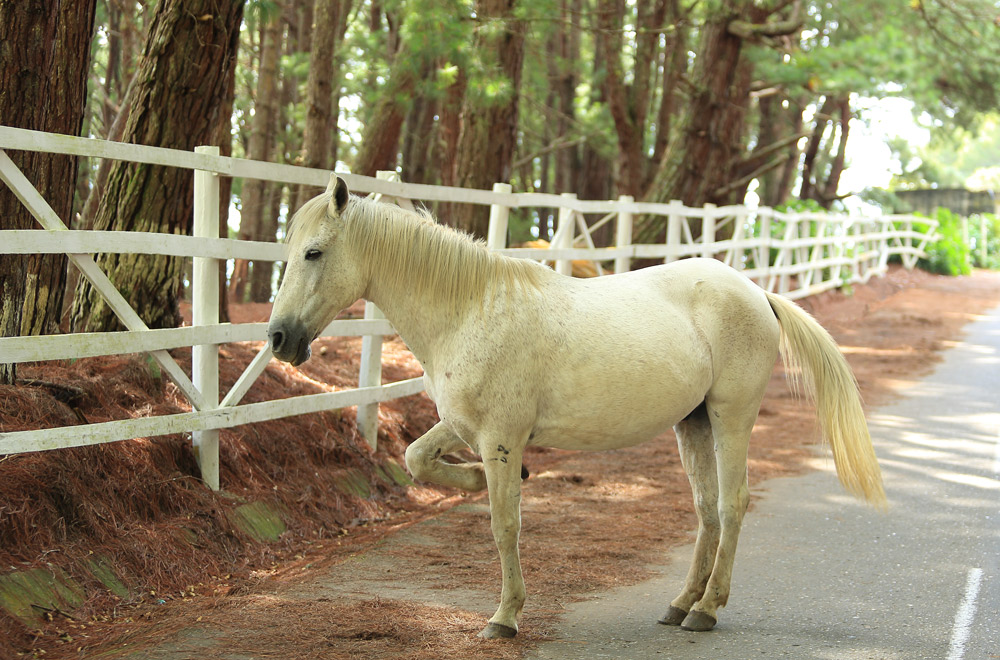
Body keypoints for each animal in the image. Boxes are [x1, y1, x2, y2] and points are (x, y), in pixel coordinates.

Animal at [266, 175, 884, 640]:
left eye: (314, 253)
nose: (278, 339)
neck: (470, 309)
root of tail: (757, 294)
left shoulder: (499, 436)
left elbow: (504, 524)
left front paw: (505, 616)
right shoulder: (464, 427)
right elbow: (418, 460)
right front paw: (479, 481)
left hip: (731, 418)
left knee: (732, 505)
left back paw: (707, 610)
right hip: (693, 424)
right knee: (707, 510)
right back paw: (681, 605)